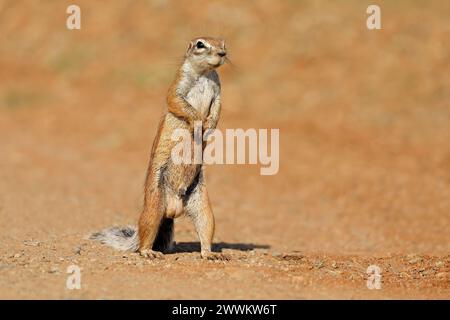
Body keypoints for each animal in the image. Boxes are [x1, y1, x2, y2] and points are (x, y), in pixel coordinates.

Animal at [90, 37, 229, 260]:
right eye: (200, 44)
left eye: (223, 43)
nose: (222, 54)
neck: (205, 74)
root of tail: (172, 210)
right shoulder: (178, 87)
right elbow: (178, 102)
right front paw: (199, 123)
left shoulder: (218, 92)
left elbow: (217, 107)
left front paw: (210, 126)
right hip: (154, 205)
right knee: (145, 234)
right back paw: (149, 252)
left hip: (202, 206)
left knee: (205, 228)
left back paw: (211, 254)